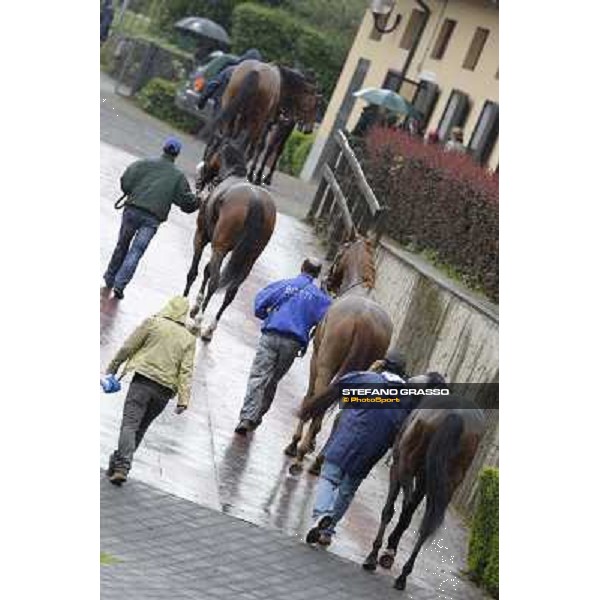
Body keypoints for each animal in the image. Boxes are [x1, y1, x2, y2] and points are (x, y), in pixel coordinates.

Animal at [183, 138, 276, 340]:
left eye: (209, 149)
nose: (200, 176)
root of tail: (256, 201)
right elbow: (207, 270)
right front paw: (195, 307)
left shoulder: (202, 237)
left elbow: (195, 271)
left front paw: (186, 304)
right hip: (249, 258)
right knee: (231, 291)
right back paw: (209, 328)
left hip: (219, 247)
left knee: (215, 281)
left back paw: (198, 323)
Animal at [284, 234, 394, 474]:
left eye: (340, 251)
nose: (327, 280)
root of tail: (363, 321)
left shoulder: (316, 360)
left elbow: (310, 396)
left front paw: (296, 442)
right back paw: (319, 460)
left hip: (326, 365)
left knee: (318, 400)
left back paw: (301, 452)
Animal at [358, 390, 486, 592]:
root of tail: (456, 414)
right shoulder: (424, 481)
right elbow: (407, 514)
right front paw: (390, 550)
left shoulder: (398, 468)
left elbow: (390, 510)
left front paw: (376, 554)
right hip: (447, 482)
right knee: (424, 524)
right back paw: (403, 575)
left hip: (406, 467)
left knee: (402, 508)